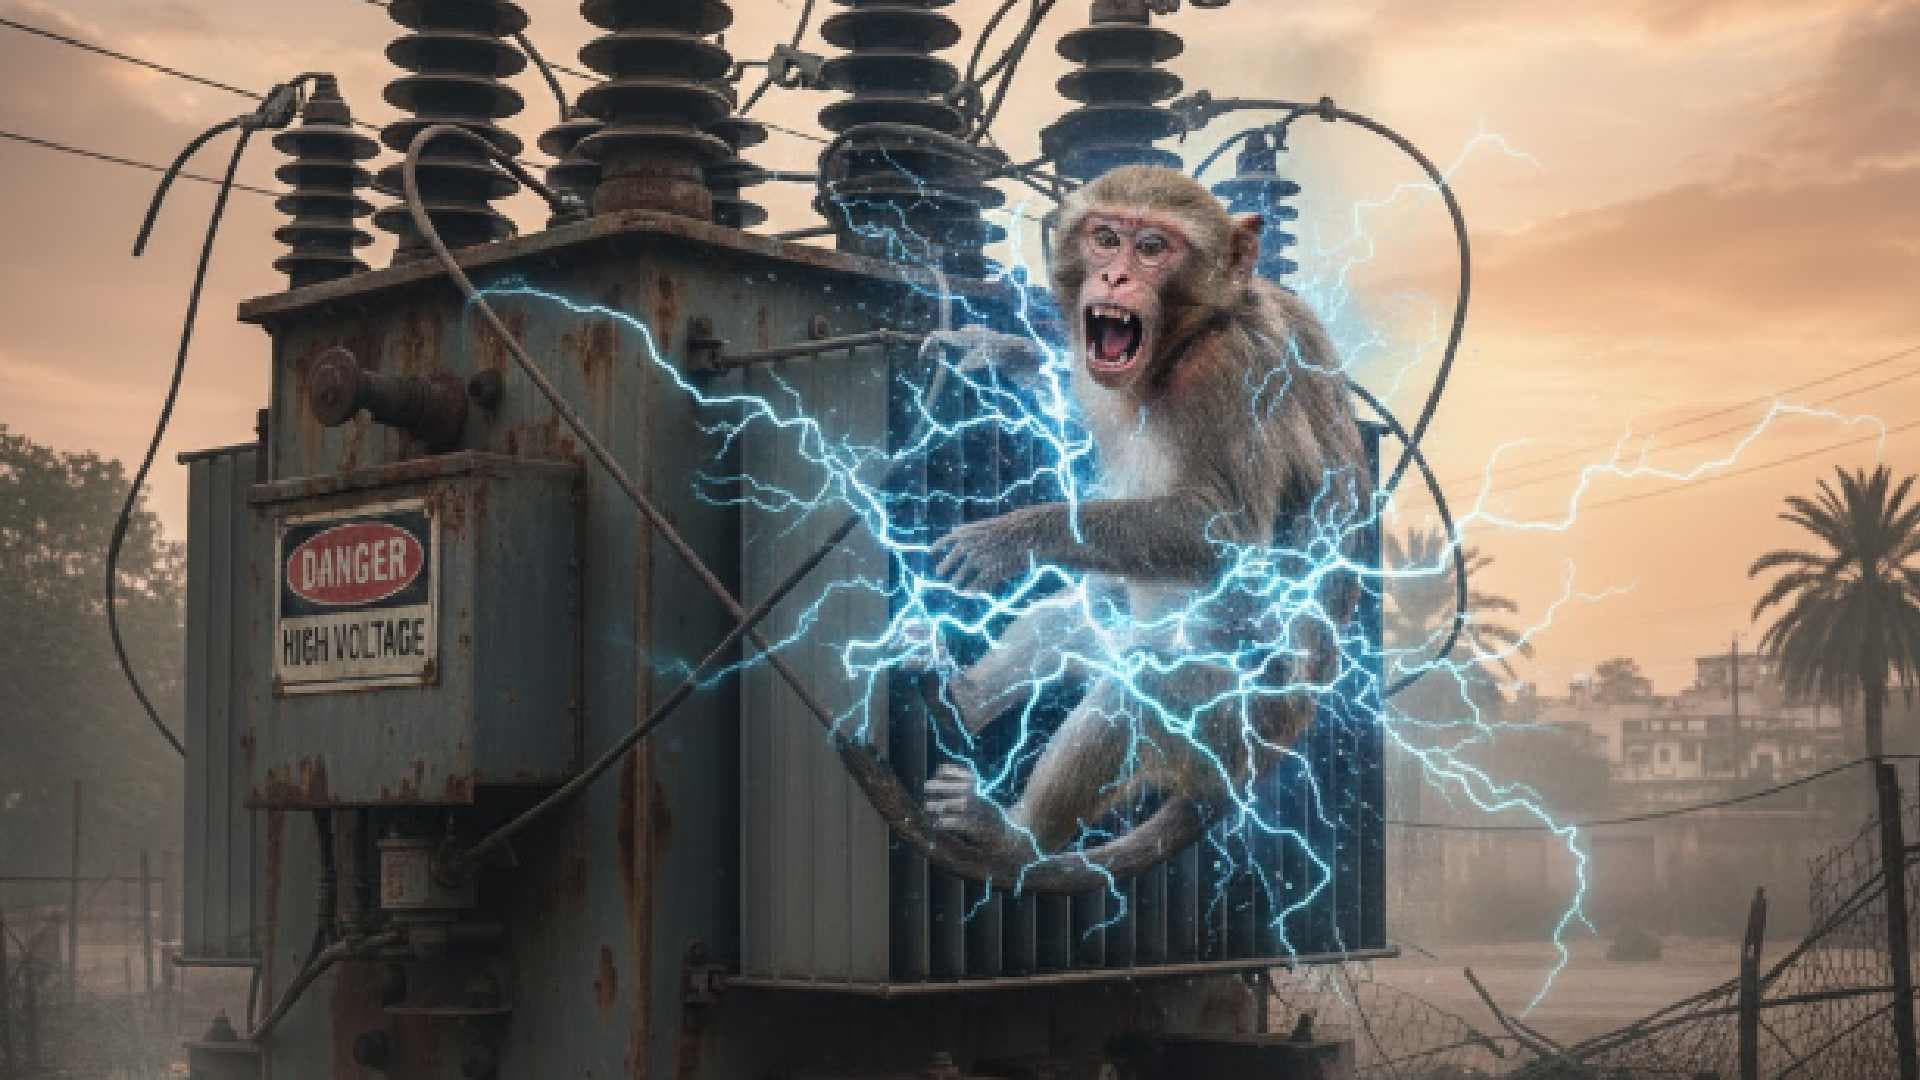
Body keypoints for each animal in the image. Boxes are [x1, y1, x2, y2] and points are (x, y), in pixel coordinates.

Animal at [906, 164, 1370, 869]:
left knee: (1141, 685)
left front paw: (1012, 538)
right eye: (1105, 238)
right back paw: (961, 695)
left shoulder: (1225, 377)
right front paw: (1000, 350)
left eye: (1153, 247)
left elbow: (1223, 532)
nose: (1116, 277)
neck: (1186, 340)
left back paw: (1015, 834)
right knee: (1087, 611)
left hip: (1220, 726)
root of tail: (1260, 764)